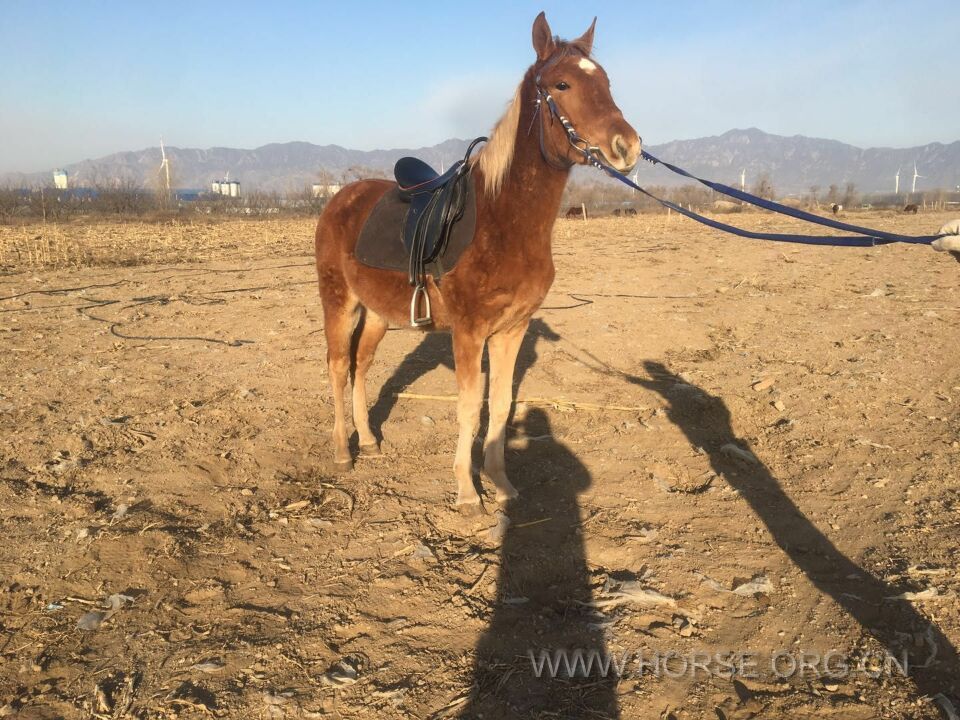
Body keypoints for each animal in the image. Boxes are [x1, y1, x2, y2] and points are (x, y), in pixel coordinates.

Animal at [316, 15, 640, 512]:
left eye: (605, 81)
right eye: (562, 84)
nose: (629, 145)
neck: (503, 219)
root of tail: (340, 198)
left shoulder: (511, 330)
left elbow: (501, 404)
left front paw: (501, 482)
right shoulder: (468, 332)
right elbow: (469, 405)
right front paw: (468, 492)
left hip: (376, 313)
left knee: (361, 364)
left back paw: (368, 440)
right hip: (338, 301)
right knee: (337, 365)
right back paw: (341, 450)